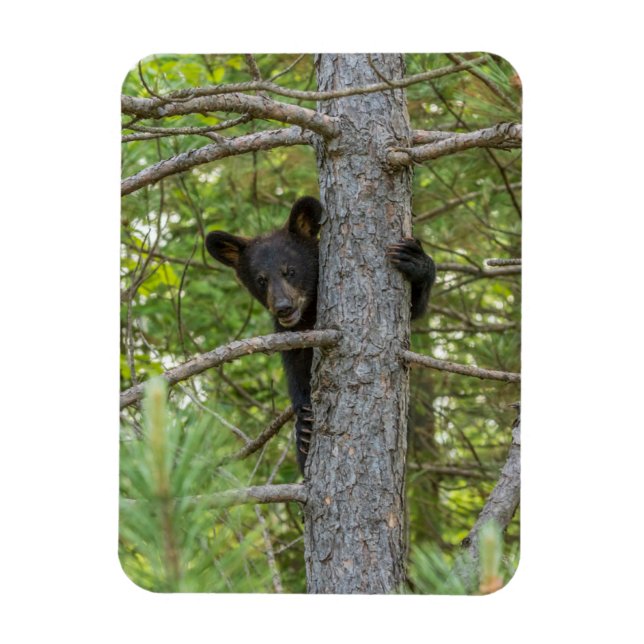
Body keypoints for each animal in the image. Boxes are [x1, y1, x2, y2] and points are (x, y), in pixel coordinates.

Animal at [206, 196, 436, 474]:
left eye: (290, 271)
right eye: (261, 280)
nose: (283, 307)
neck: (308, 313)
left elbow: (414, 308)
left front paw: (416, 260)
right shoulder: (292, 335)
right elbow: (296, 370)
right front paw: (304, 426)